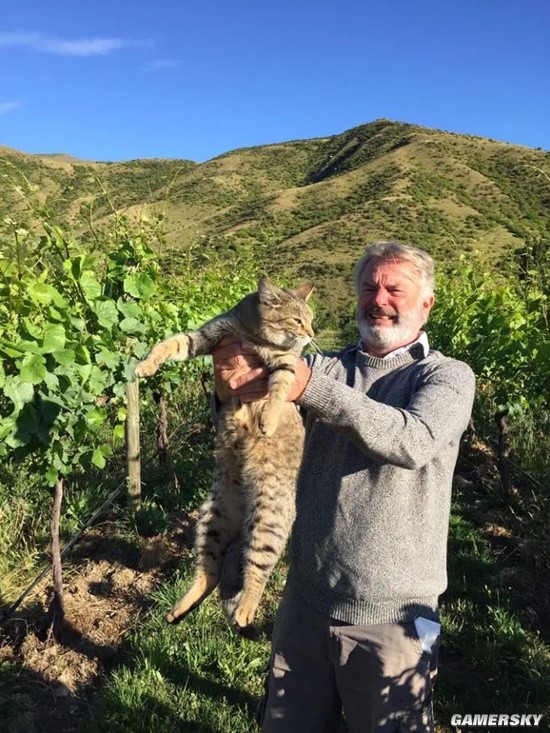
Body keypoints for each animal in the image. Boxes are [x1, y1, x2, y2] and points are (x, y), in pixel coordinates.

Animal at [136, 278, 314, 632]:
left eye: (311, 319)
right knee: (209, 575)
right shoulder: (205, 337)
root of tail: (243, 514)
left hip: (268, 521)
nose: (312, 334)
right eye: (297, 320)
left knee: (255, 573)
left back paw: (245, 611)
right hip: (211, 521)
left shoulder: (285, 363)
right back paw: (180, 608)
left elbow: (280, 388)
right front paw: (145, 365)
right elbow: (168, 343)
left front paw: (268, 419)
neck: (254, 335)